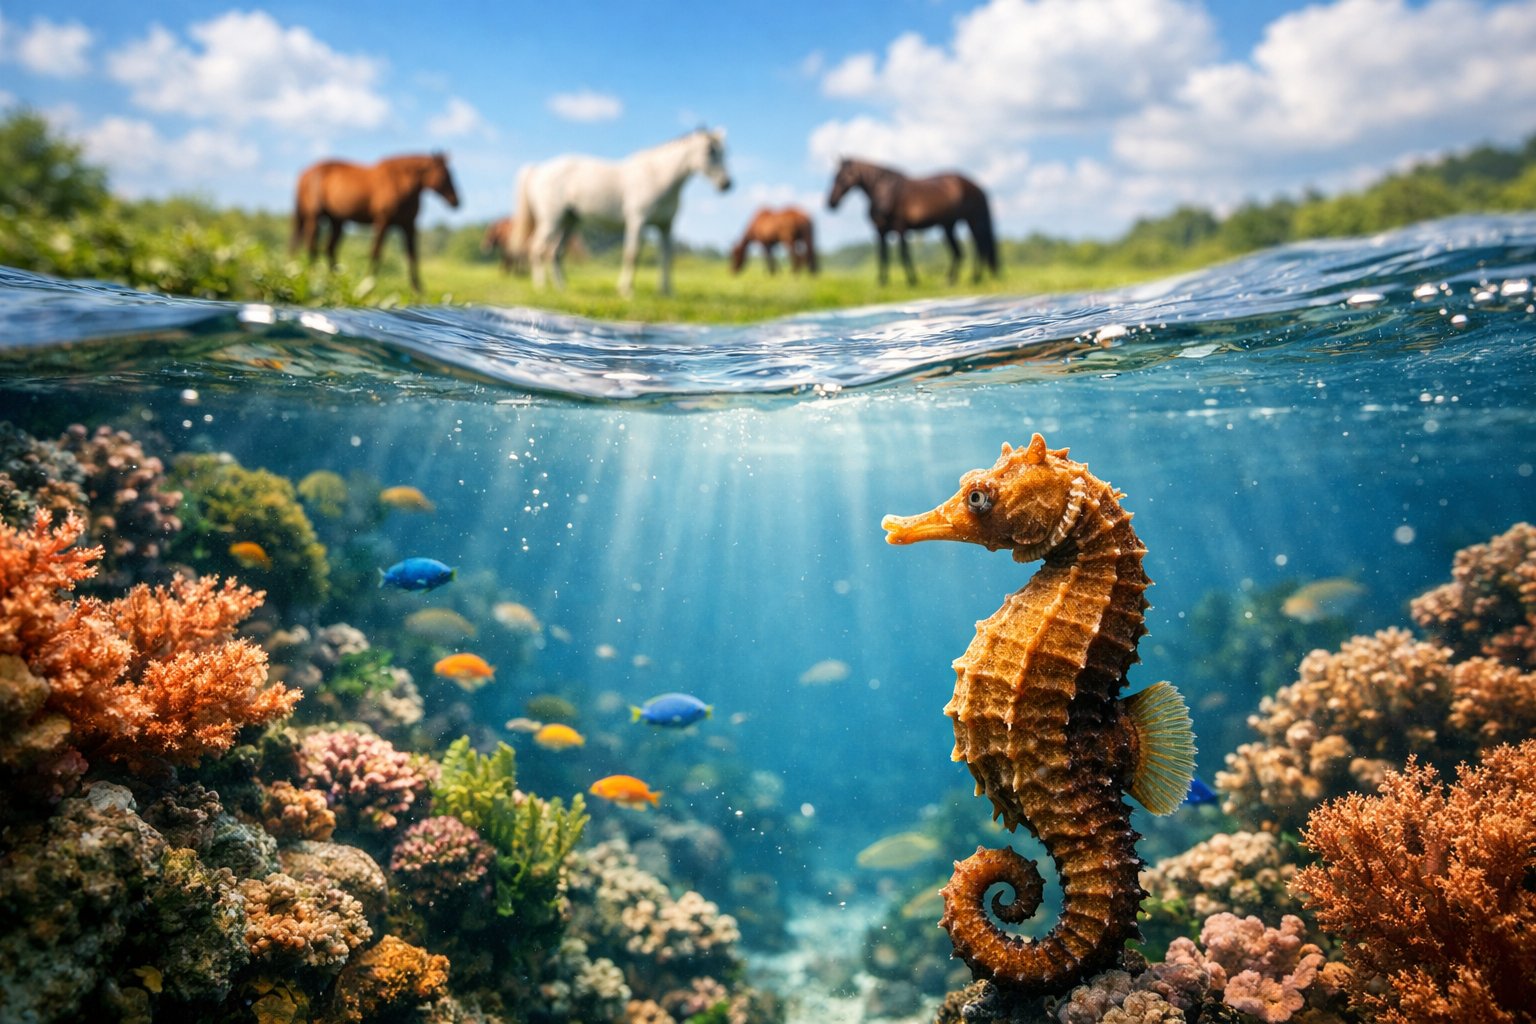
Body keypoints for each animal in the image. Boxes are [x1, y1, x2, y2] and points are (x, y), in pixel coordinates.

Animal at [291, 152, 459, 292]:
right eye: (445, 174)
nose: (457, 201)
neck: (400, 183)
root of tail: (304, 173)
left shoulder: (408, 225)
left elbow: (412, 254)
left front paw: (418, 289)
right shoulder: (383, 221)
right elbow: (376, 252)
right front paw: (368, 283)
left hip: (337, 221)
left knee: (329, 248)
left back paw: (335, 279)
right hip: (314, 217)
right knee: (312, 245)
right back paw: (313, 275)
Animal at [511, 128, 732, 298]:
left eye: (724, 152)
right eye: (710, 151)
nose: (727, 184)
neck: (658, 177)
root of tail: (539, 169)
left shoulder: (666, 227)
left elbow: (666, 257)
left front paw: (666, 292)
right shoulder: (637, 222)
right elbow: (632, 254)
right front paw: (626, 291)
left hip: (570, 221)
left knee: (555, 253)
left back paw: (562, 287)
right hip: (552, 220)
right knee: (537, 249)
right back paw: (541, 287)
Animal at [826, 158, 998, 286]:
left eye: (841, 177)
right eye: (834, 177)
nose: (831, 203)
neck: (884, 192)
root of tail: (978, 187)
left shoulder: (900, 227)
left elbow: (903, 254)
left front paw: (912, 281)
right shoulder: (880, 231)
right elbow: (883, 256)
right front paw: (882, 282)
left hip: (973, 221)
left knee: (980, 247)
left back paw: (974, 278)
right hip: (948, 225)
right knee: (959, 252)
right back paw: (952, 280)